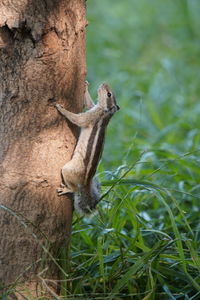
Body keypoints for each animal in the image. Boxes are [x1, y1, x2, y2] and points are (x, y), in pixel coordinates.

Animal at [55, 81, 119, 214]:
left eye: (109, 94)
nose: (104, 83)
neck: (105, 112)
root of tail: (86, 182)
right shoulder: (92, 109)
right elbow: (89, 104)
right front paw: (85, 86)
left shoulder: (90, 116)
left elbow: (77, 119)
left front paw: (62, 109)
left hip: (68, 170)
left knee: (75, 188)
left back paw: (67, 189)